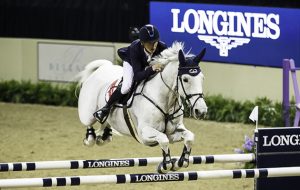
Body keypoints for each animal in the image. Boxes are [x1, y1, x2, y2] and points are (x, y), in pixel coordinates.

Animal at [77, 42, 207, 173]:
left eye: (202, 78)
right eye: (185, 79)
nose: (201, 111)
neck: (165, 101)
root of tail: (102, 68)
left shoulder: (173, 132)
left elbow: (189, 137)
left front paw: (180, 162)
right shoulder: (144, 133)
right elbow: (163, 139)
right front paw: (166, 165)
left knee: (106, 126)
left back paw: (103, 137)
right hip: (87, 113)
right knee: (89, 122)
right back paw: (90, 137)